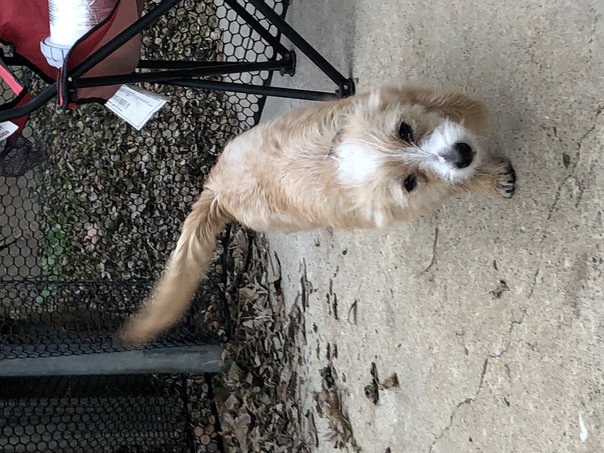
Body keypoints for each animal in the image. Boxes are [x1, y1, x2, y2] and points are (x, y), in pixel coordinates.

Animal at [119, 84, 516, 345]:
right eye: (409, 182)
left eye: (404, 129)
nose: (463, 153)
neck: (334, 160)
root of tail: (214, 188)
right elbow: (454, 183)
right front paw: (488, 180)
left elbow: (448, 102)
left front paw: (469, 114)